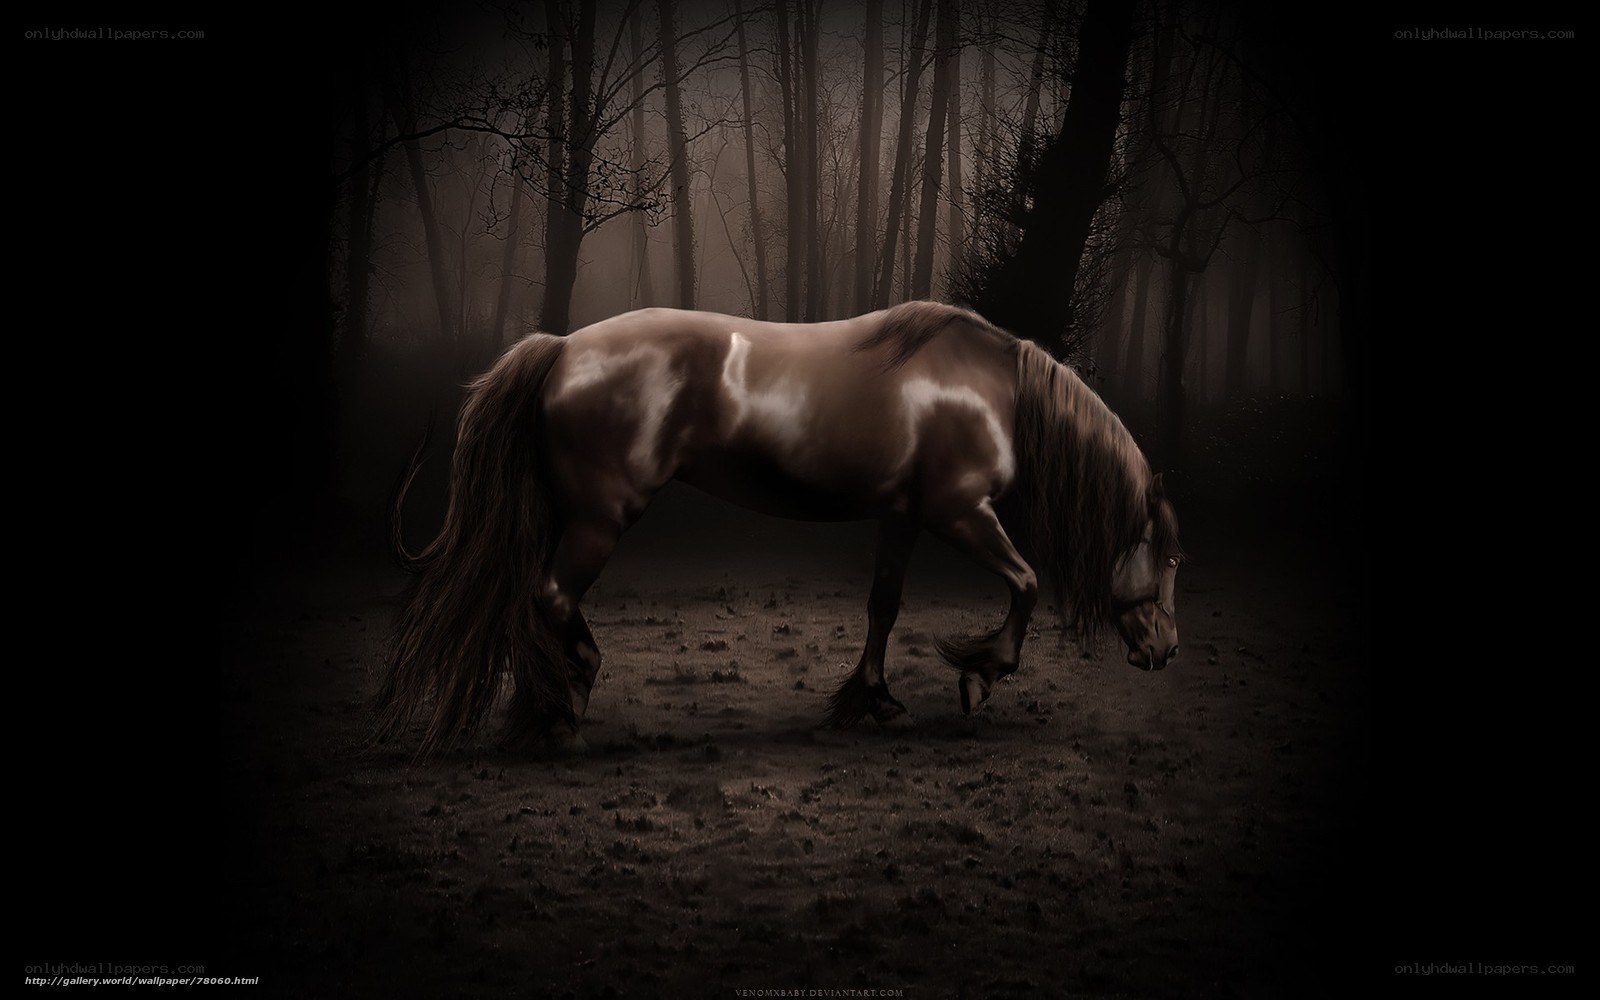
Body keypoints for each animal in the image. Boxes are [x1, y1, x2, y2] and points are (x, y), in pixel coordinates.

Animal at [377, 301, 1182, 756]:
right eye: (1171, 560)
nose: (1166, 651)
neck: (990, 388)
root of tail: (562, 349)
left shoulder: (904, 516)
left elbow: (883, 608)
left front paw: (872, 701)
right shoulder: (959, 512)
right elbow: (1026, 582)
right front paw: (980, 678)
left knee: (532, 598)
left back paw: (545, 710)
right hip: (601, 517)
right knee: (549, 596)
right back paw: (565, 712)